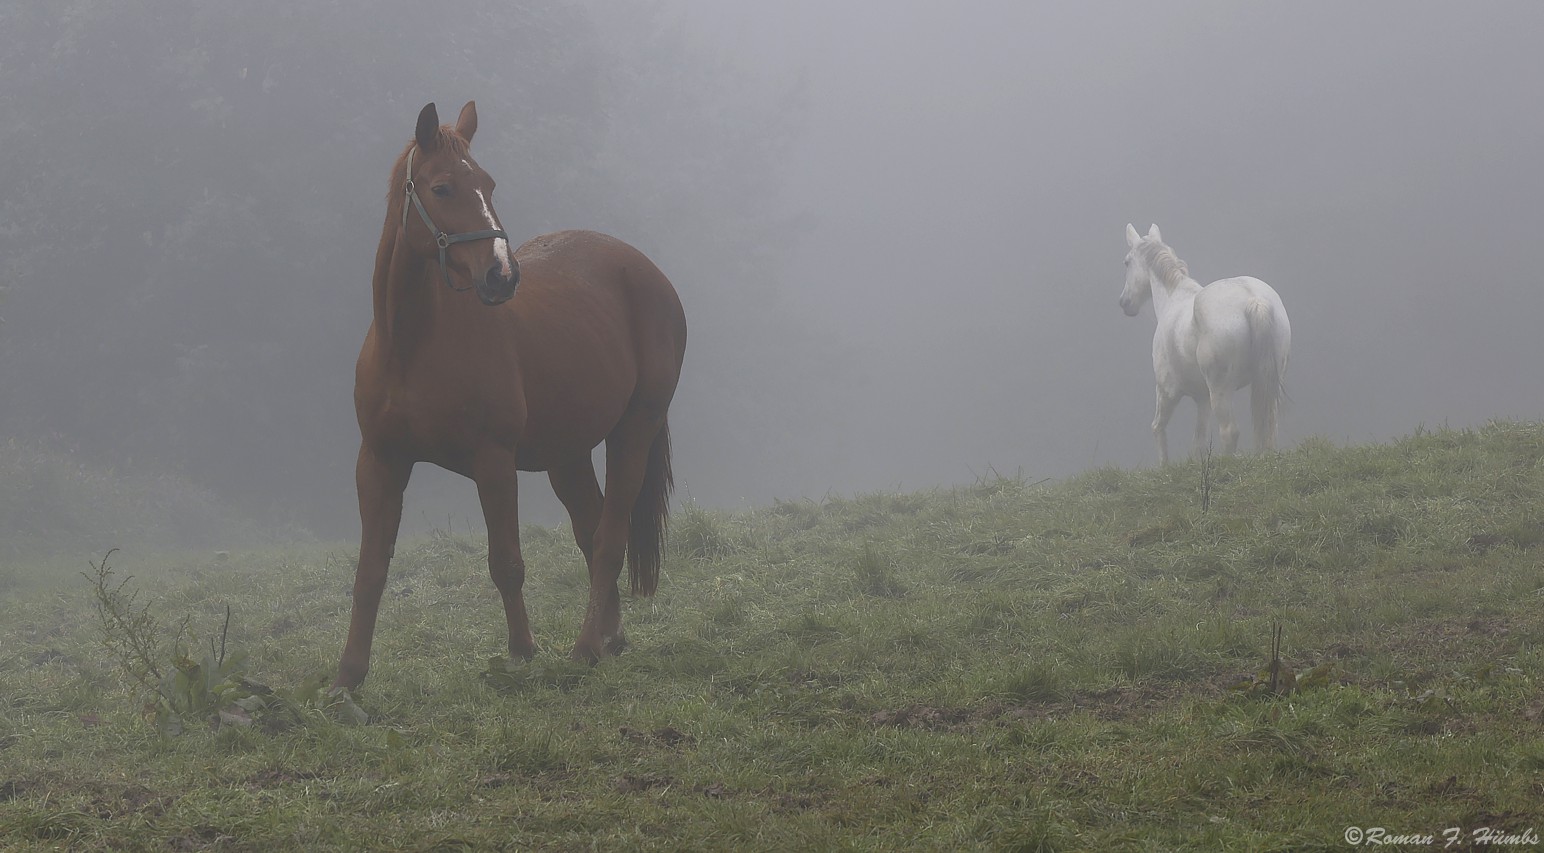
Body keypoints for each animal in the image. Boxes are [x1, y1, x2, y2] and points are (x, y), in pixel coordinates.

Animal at [336, 99, 688, 689]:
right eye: (441, 188)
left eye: (488, 183)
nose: (502, 275)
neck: (411, 346)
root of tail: (645, 270)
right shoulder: (380, 461)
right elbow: (370, 571)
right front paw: (348, 675)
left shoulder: (493, 460)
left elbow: (507, 563)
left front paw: (523, 652)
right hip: (567, 454)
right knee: (591, 530)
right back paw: (610, 637)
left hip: (634, 429)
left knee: (609, 537)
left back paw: (586, 647)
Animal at [1124, 222, 1290, 466]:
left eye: (1126, 262)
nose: (1124, 303)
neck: (1174, 299)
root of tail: (1254, 301)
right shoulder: (1202, 399)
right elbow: (1198, 443)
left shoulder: (1166, 392)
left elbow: (1158, 428)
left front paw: (1164, 467)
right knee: (1270, 424)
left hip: (1220, 391)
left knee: (1229, 431)